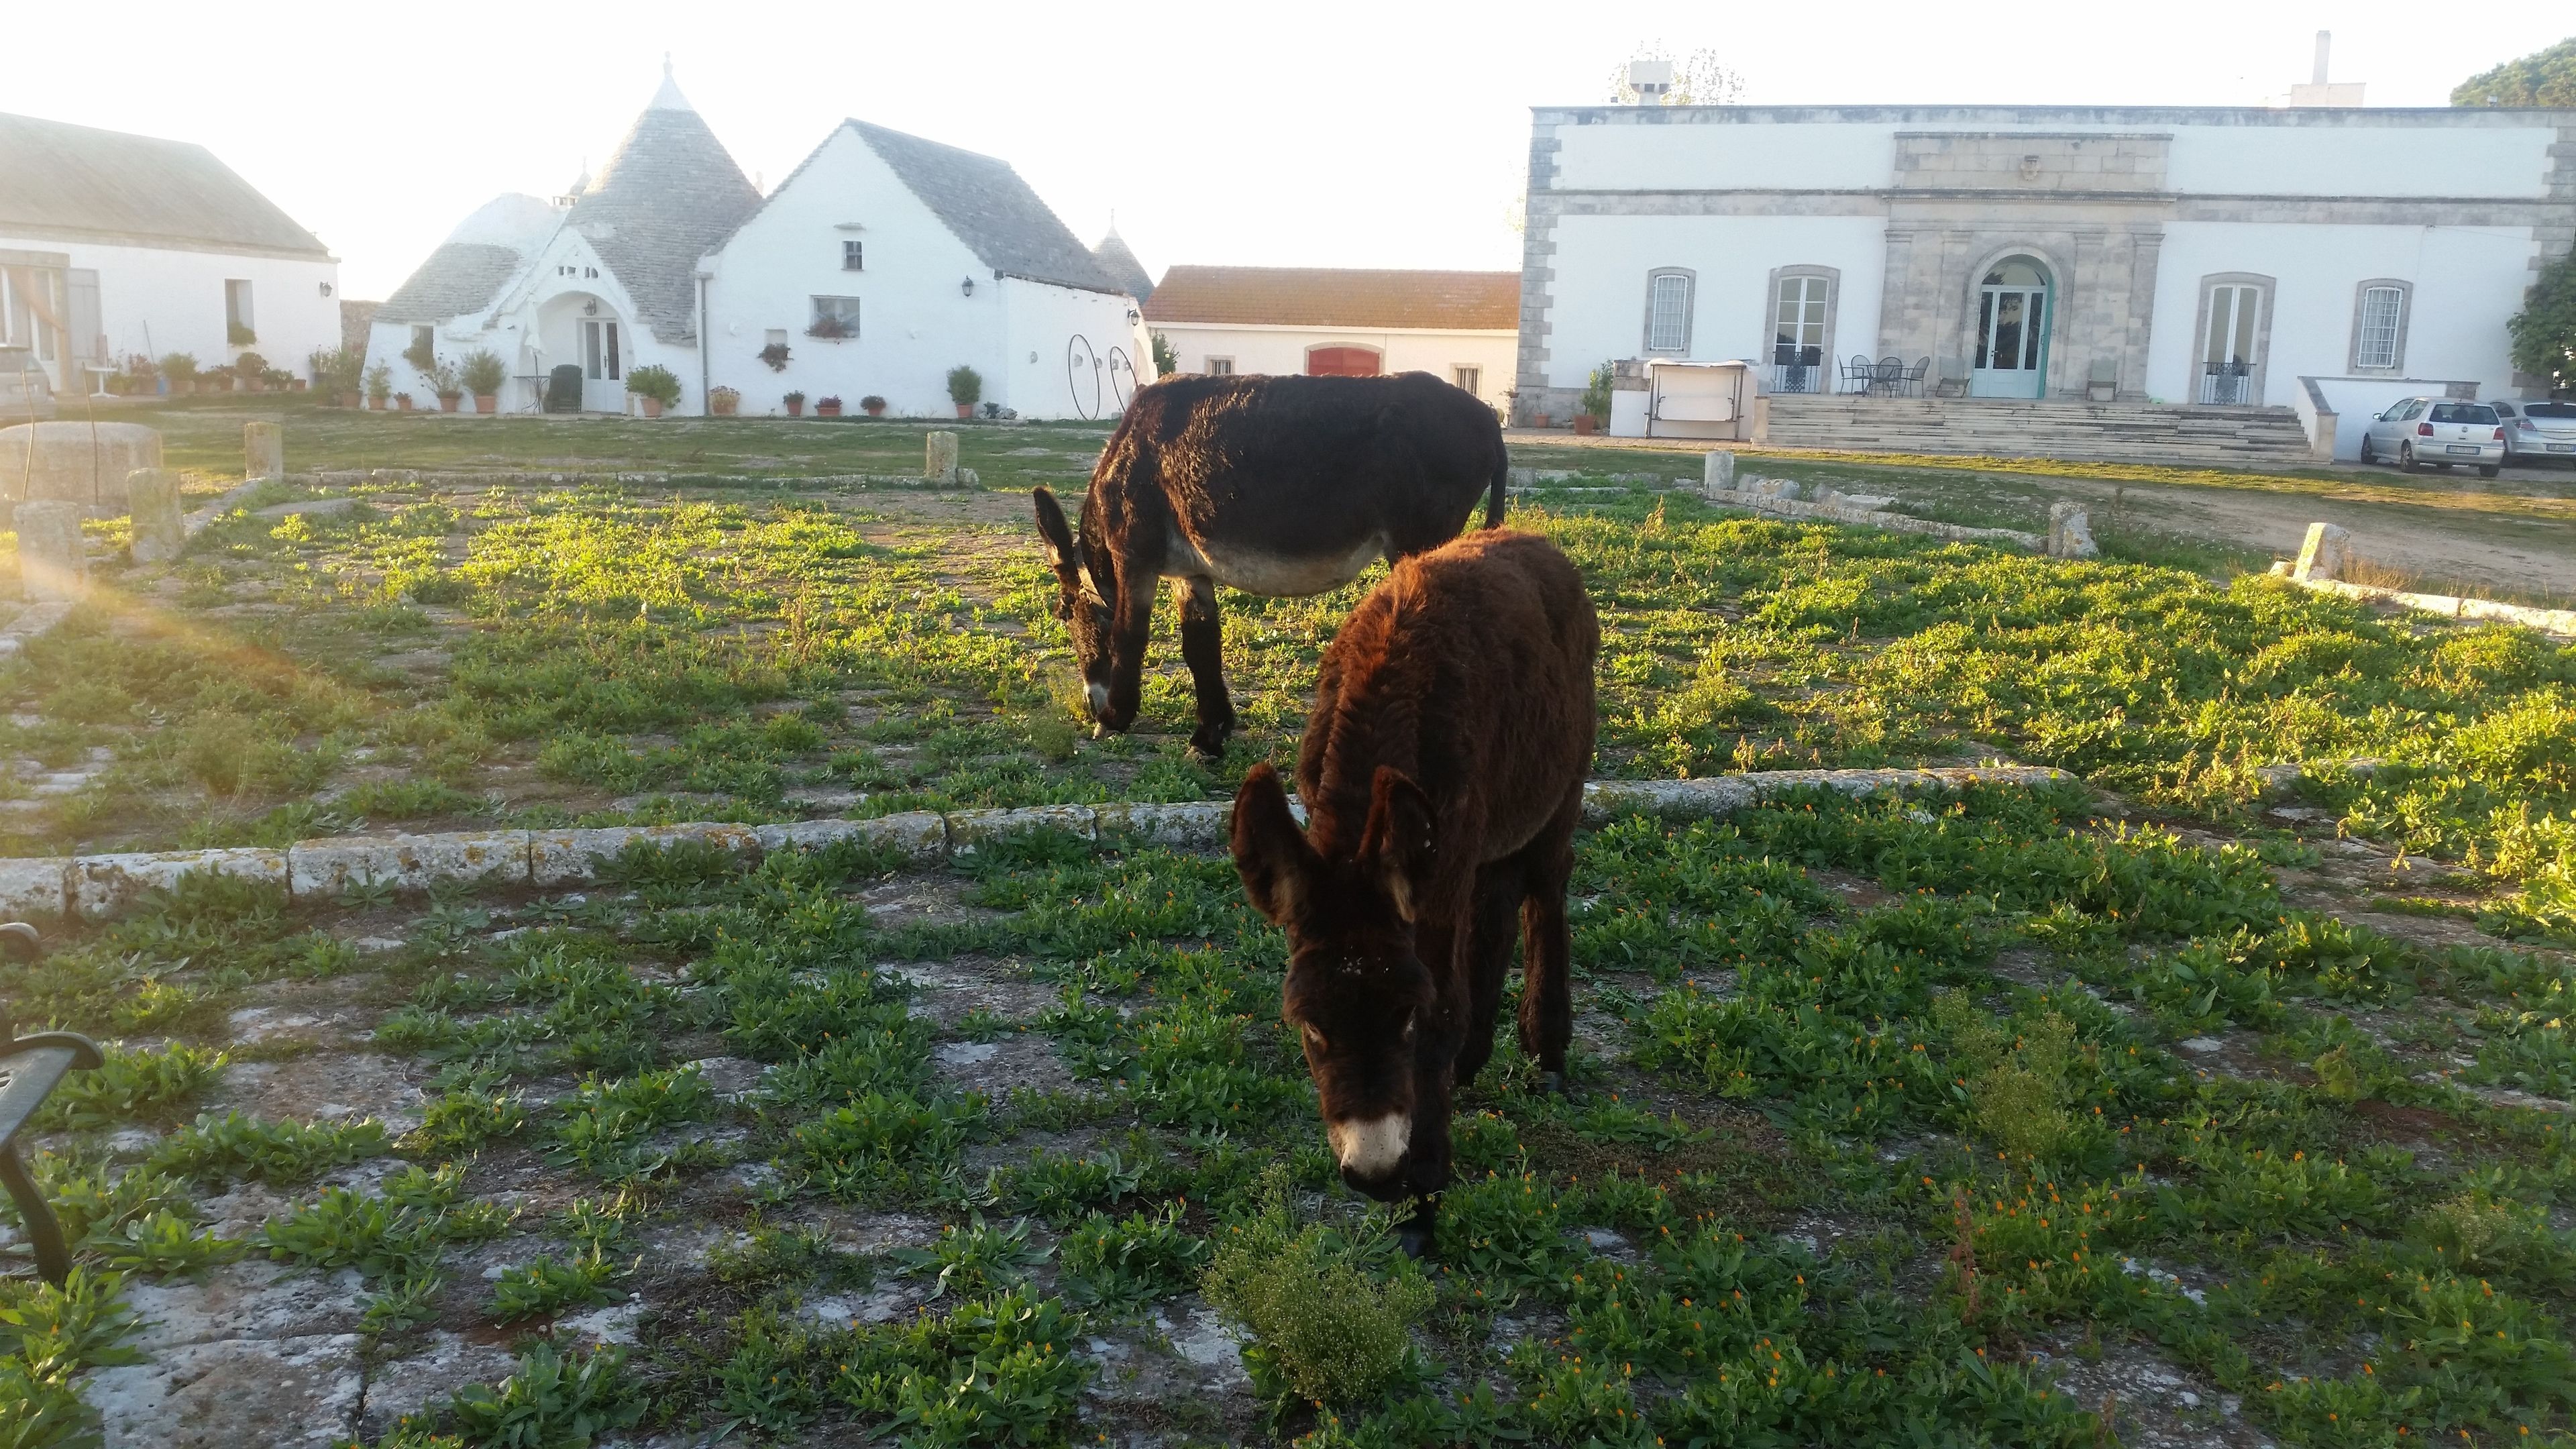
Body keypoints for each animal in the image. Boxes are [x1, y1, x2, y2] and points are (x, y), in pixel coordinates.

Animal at [1030, 371, 1506, 759]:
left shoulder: (1134, 558)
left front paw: (1113, 720)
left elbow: (1129, 637)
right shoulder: (1191, 573)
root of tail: (1488, 420)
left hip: (1418, 544)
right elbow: (1200, 647)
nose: (1091, 703)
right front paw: (1209, 738)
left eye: (1064, 613)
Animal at [1228, 529, 1598, 1257]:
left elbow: (1445, 1002)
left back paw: (1547, 1051)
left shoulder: (1440, 864)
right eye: (1311, 1027)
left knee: (1546, 889)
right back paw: (1475, 1060)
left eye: (1405, 1018)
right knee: (1499, 903)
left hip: (1560, 784)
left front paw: (1424, 1208)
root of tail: (1532, 538)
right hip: (1489, 834)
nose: (1375, 1177)